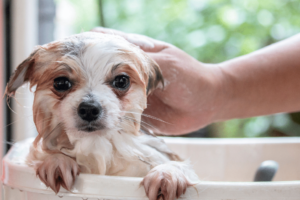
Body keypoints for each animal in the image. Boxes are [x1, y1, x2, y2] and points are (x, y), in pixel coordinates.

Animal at [5, 32, 198, 199]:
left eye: (122, 81)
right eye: (61, 83)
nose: (89, 109)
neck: (96, 145)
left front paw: (167, 174)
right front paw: (57, 161)